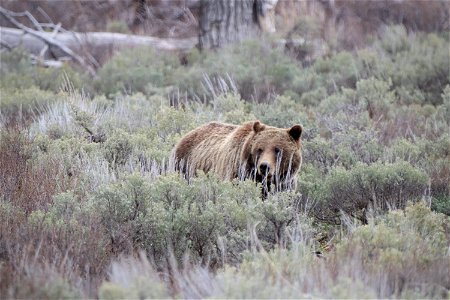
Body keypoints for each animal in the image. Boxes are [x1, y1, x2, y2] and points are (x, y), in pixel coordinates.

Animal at [172, 120, 302, 193]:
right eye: (260, 149)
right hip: (183, 165)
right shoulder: (238, 173)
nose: (264, 166)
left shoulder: (285, 183)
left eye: (278, 150)